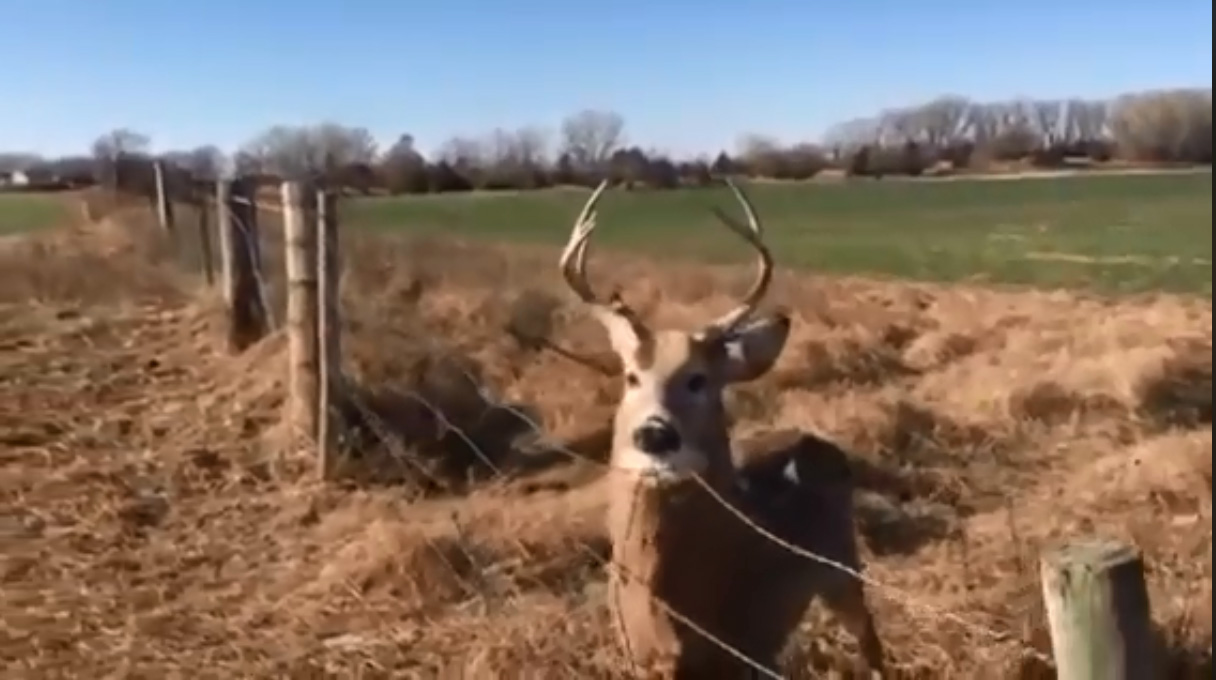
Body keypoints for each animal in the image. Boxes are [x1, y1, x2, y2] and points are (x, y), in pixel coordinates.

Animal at [556, 178, 885, 676]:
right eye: (631, 376)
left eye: (700, 380)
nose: (655, 434)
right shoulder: (636, 657)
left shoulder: (752, 646)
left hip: (843, 562)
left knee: (871, 641)